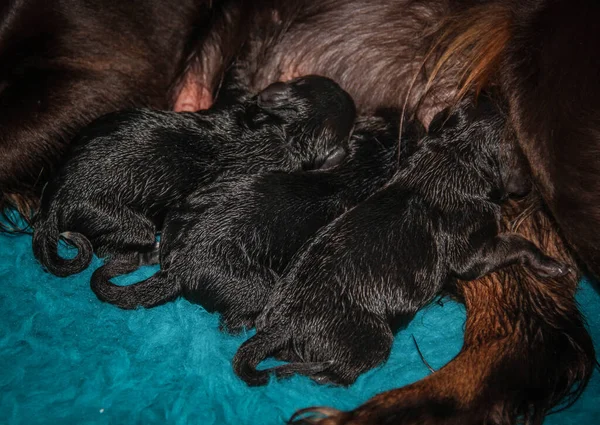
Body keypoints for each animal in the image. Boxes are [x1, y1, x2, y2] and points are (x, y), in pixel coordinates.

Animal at [31, 74, 356, 276]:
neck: (284, 131)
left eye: (301, 81)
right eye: (351, 123)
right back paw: (150, 253)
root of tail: (54, 199)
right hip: (122, 221)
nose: (349, 95)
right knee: (112, 249)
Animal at [232, 95, 568, 384]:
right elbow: (515, 242)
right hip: (373, 337)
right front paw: (551, 264)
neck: (454, 155)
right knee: (332, 373)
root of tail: (283, 324)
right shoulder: (472, 251)